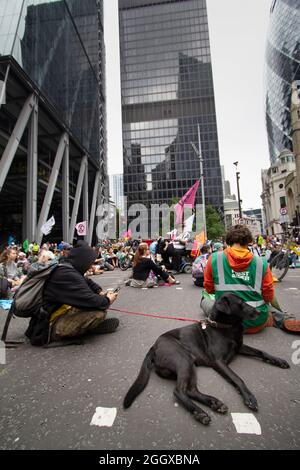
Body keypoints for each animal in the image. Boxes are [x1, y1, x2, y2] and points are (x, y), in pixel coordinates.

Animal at [123, 294, 290, 422]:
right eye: (241, 304)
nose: (257, 311)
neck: (225, 327)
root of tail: (154, 346)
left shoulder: (240, 347)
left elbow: (261, 352)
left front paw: (278, 360)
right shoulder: (219, 362)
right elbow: (237, 378)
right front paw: (248, 397)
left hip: (190, 365)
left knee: (191, 390)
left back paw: (214, 403)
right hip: (182, 359)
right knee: (179, 391)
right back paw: (199, 412)